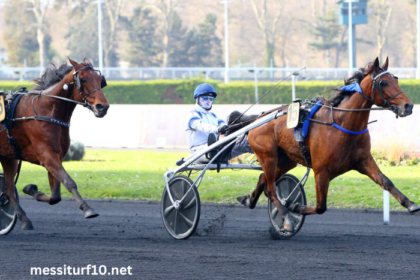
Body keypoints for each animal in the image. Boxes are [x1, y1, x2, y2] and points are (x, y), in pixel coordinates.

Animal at [1, 57, 110, 230]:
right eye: (83, 79)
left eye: (100, 80)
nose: (102, 107)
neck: (46, 109)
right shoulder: (47, 156)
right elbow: (69, 182)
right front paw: (87, 209)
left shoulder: (55, 157)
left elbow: (55, 196)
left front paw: (32, 190)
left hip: (8, 156)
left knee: (8, 189)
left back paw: (25, 220)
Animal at [238, 57, 418, 232]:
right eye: (384, 83)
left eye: (396, 79)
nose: (409, 105)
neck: (343, 123)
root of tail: (258, 118)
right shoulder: (321, 171)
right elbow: (320, 207)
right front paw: (295, 206)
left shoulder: (364, 160)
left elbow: (386, 181)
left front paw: (411, 204)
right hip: (268, 156)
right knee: (271, 189)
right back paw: (287, 218)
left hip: (286, 160)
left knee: (263, 179)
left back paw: (249, 200)